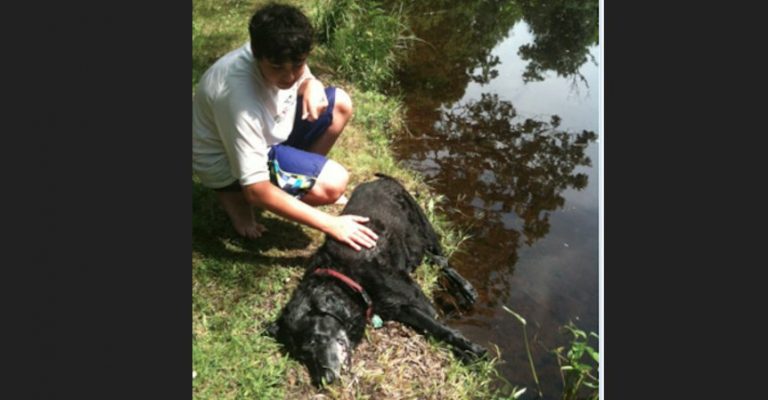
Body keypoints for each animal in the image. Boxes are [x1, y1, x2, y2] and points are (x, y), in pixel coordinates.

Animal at [268, 173, 488, 386]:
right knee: (433, 259)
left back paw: (467, 289)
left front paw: (472, 351)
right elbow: (433, 329)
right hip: (413, 246)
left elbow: (442, 329)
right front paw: (466, 353)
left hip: (425, 229)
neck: (347, 277)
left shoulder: (418, 300)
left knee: (443, 260)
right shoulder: (400, 308)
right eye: (302, 355)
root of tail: (380, 180)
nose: (324, 380)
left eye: (314, 340)